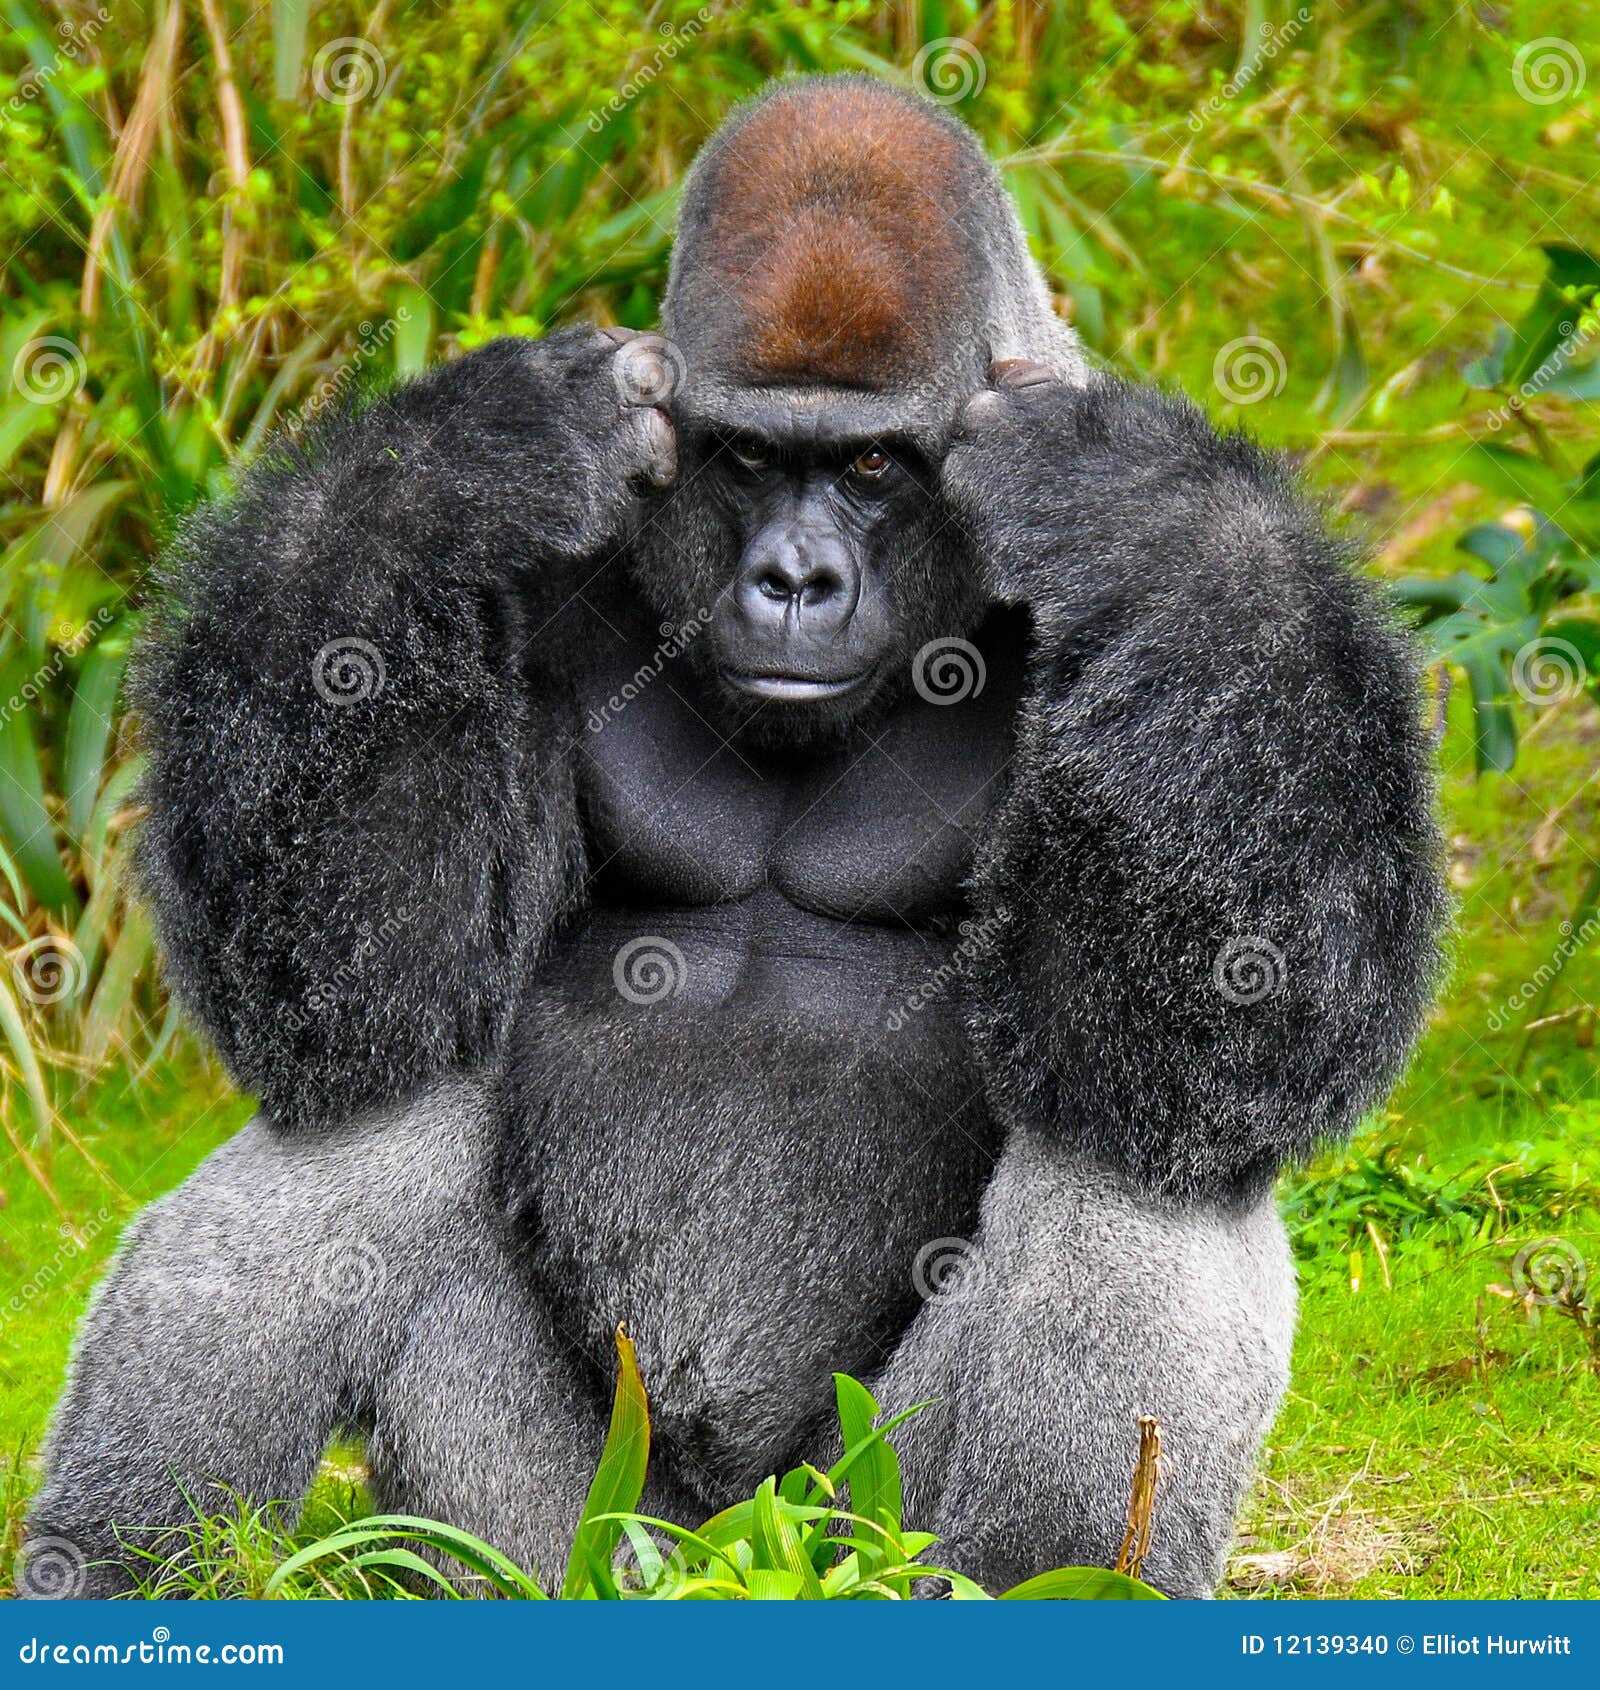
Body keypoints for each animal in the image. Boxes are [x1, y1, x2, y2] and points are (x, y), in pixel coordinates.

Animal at [28, 76, 1453, 1595]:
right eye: (754, 458)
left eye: (874, 464)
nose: (793, 578)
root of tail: (721, 1543)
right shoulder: (541, 567)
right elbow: (362, 989)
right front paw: (453, 457)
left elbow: (1212, 1038)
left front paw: (1140, 502)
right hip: (564, 1543)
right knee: (375, 1109)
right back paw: (107, 1559)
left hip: (855, 1526)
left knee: (1138, 1164)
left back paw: (1057, 1574)